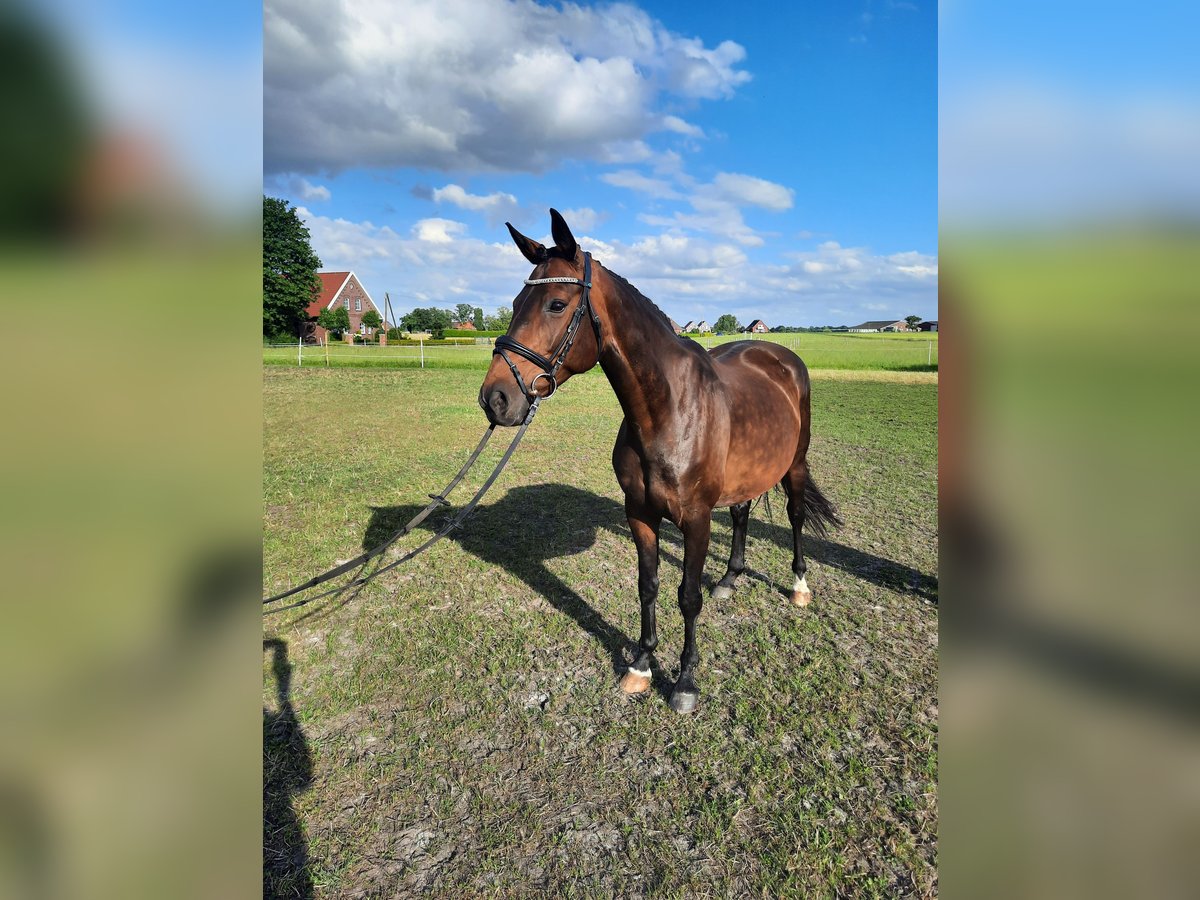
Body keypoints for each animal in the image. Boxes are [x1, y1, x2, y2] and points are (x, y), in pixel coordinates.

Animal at [472, 207, 840, 715]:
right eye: (514, 301)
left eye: (556, 305)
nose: (496, 399)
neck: (666, 409)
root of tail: (780, 356)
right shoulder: (640, 514)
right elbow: (648, 585)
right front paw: (642, 665)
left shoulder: (697, 519)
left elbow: (687, 597)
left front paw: (684, 682)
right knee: (742, 513)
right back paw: (730, 578)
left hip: (796, 465)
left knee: (796, 515)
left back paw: (800, 587)